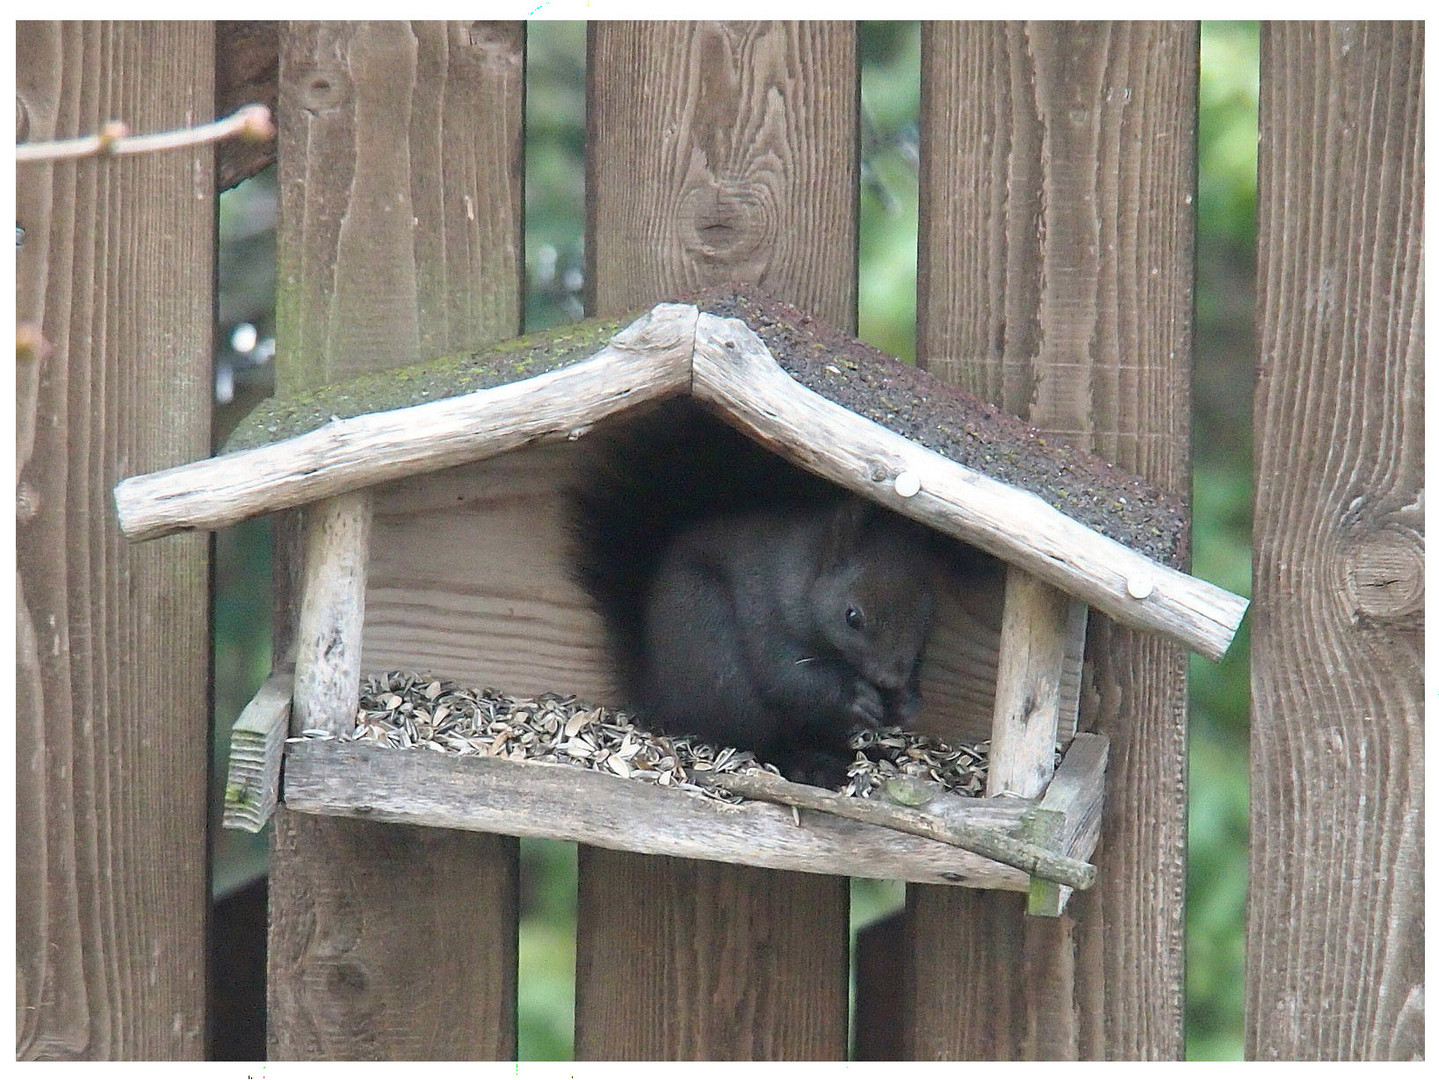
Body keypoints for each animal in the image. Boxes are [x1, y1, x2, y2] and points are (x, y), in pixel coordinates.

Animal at [566, 396, 938, 788]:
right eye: (852, 617)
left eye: (928, 615)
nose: (889, 678)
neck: (804, 578)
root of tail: (657, 692)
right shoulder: (766, 616)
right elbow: (788, 677)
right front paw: (860, 697)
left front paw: (905, 703)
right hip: (717, 663)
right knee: (762, 739)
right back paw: (810, 763)